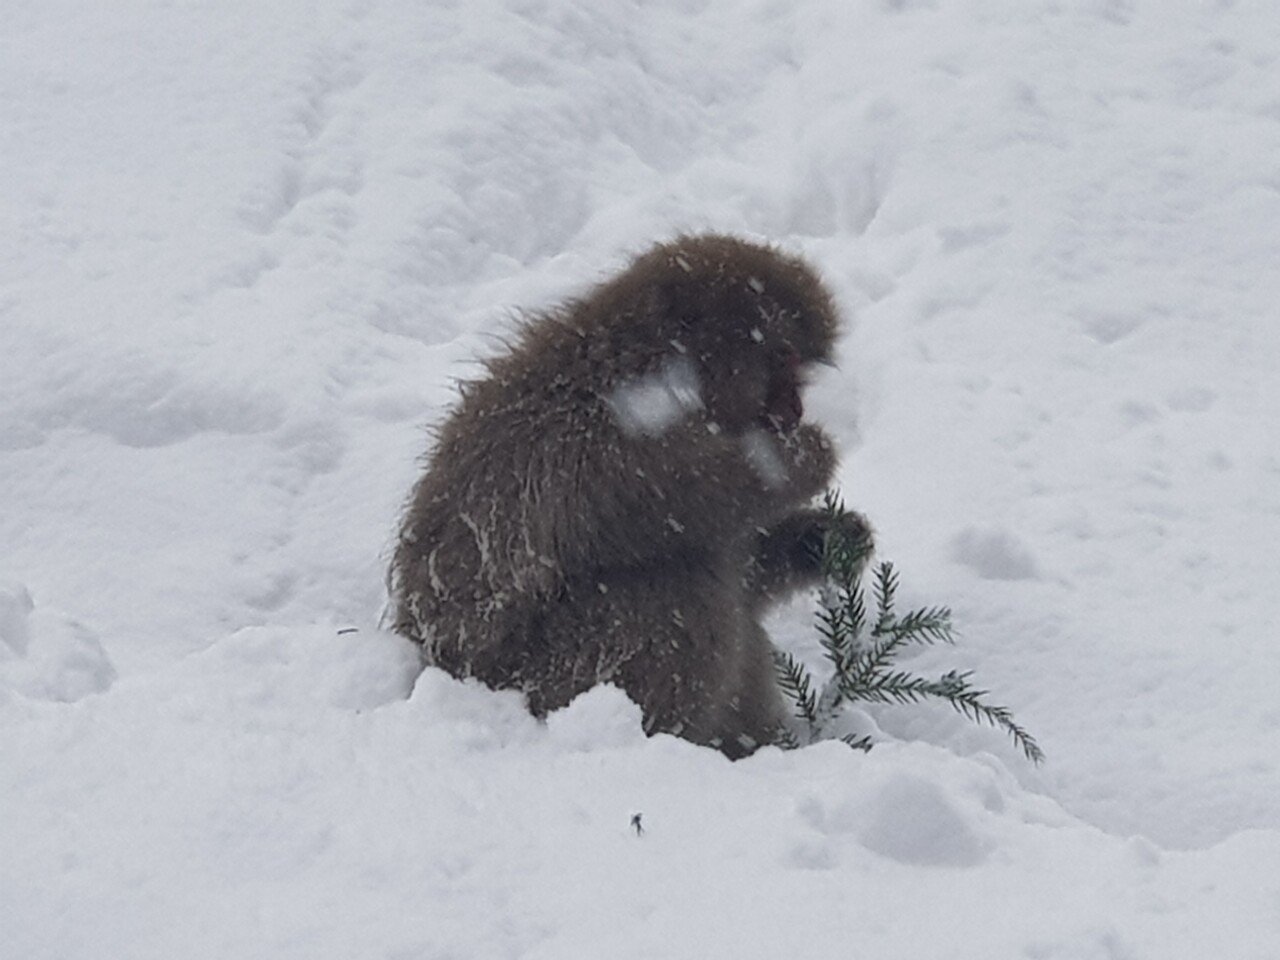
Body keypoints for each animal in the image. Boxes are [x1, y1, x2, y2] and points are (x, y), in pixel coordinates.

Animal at [391, 232, 870, 757]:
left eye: (798, 368)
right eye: (783, 358)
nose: (794, 409)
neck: (651, 369)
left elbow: (744, 563)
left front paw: (826, 539)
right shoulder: (604, 441)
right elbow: (685, 498)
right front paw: (806, 456)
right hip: (547, 678)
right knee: (677, 585)